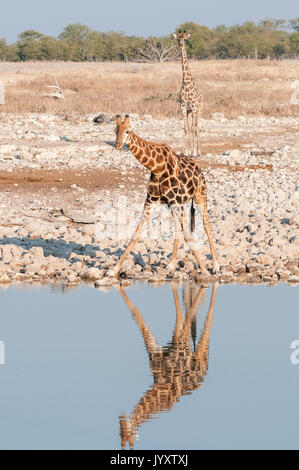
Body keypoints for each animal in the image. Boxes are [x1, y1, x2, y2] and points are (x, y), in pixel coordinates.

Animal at [109, 114, 219, 280]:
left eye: (127, 131)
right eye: (115, 130)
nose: (118, 145)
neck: (157, 168)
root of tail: (199, 168)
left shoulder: (175, 202)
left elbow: (188, 236)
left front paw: (205, 270)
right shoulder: (150, 201)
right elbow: (135, 234)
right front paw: (114, 270)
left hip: (200, 195)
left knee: (207, 225)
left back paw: (216, 266)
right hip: (176, 205)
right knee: (178, 229)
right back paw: (171, 266)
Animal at [117, 280, 218, 450]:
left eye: (129, 434)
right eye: (120, 432)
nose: (121, 419)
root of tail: (203, 375)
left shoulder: (178, 343)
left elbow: (183, 315)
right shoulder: (162, 347)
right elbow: (138, 315)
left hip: (200, 351)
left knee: (206, 320)